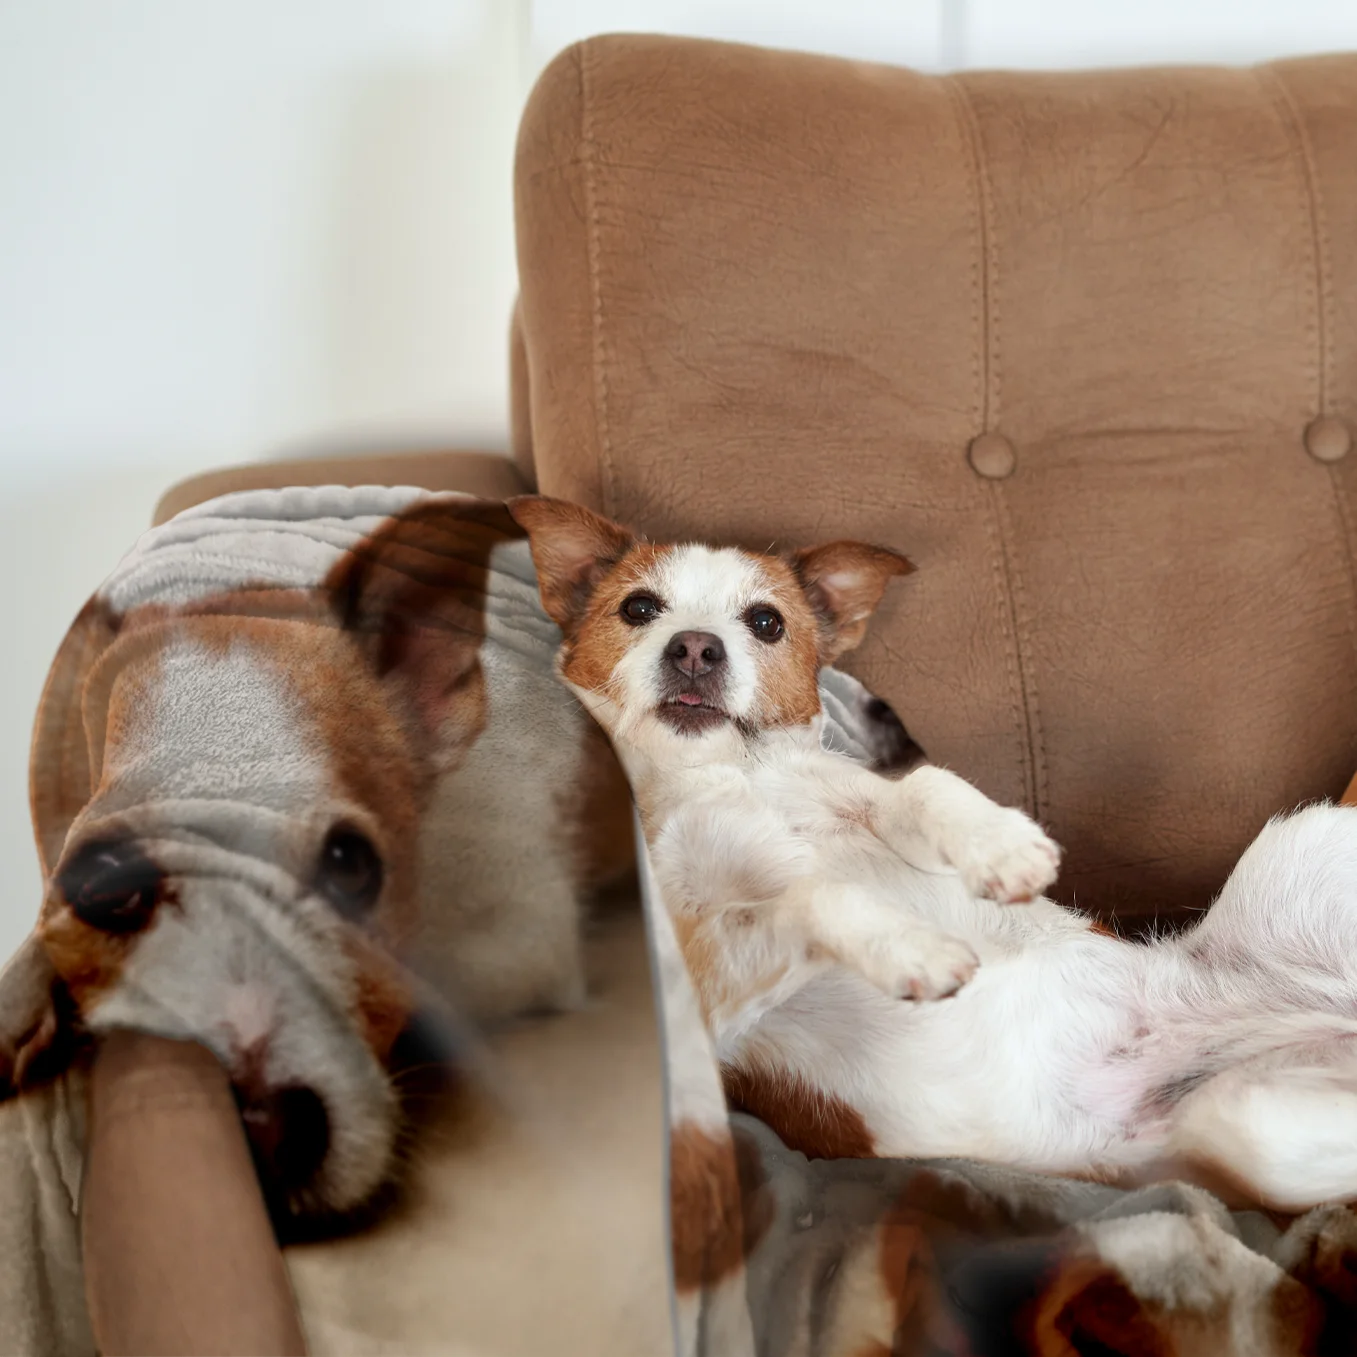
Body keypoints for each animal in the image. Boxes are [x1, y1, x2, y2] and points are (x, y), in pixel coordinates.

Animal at [510, 493, 1357, 1215]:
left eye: (765, 622)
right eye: (638, 608)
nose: (694, 648)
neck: (725, 771)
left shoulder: (867, 799)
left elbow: (924, 786)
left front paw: (1001, 846)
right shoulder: (691, 982)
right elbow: (804, 894)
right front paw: (908, 946)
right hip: (1247, 1123)